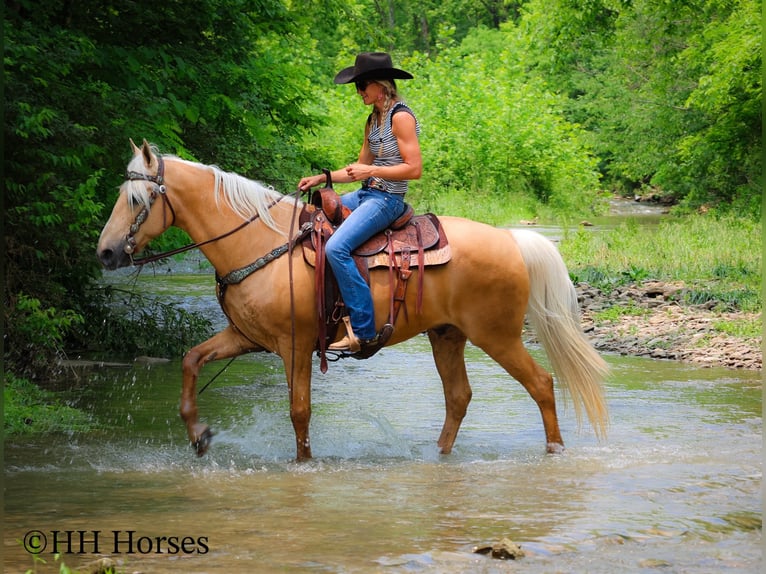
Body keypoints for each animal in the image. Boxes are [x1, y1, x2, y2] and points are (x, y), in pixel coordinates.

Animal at [97, 139, 609, 460]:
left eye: (138, 199)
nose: (105, 252)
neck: (259, 243)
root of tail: (511, 239)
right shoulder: (245, 337)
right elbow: (190, 360)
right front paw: (199, 435)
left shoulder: (296, 346)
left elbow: (299, 412)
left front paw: (303, 465)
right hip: (447, 335)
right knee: (459, 397)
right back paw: (439, 456)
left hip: (497, 336)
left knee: (541, 384)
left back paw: (554, 452)